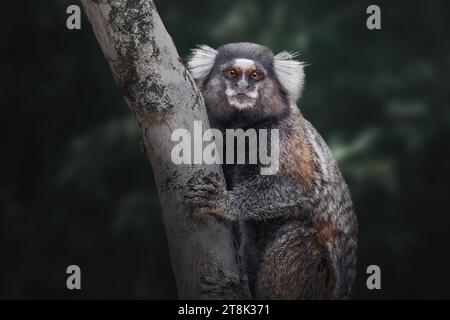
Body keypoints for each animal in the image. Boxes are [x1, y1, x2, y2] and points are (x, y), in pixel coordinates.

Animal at [185, 42, 356, 300]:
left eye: (255, 75)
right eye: (231, 73)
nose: (242, 87)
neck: (243, 128)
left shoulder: (281, 136)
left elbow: (299, 187)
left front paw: (222, 201)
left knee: (298, 236)